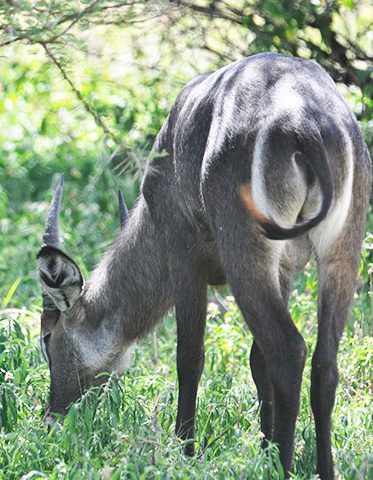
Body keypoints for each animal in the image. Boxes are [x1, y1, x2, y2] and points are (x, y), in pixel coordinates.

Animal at [37, 50, 370, 478]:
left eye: (47, 337)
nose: (50, 418)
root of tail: (306, 125)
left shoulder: (182, 254)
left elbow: (189, 356)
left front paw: (185, 450)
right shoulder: (284, 271)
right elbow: (256, 361)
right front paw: (261, 445)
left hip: (246, 253)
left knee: (288, 350)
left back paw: (282, 465)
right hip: (341, 252)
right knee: (324, 364)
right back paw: (321, 467)